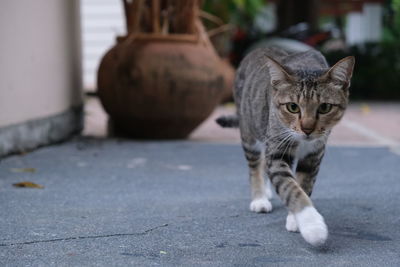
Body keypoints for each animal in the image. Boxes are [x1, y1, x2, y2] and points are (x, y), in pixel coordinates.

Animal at [217, 47, 354, 246]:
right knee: (254, 165)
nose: (307, 129)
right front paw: (312, 226)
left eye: (325, 107)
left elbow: (304, 184)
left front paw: (295, 220)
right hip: (250, 130)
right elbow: (290, 187)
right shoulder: (277, 149)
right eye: (292, 107)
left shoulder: (314, 154)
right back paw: (260, 198)